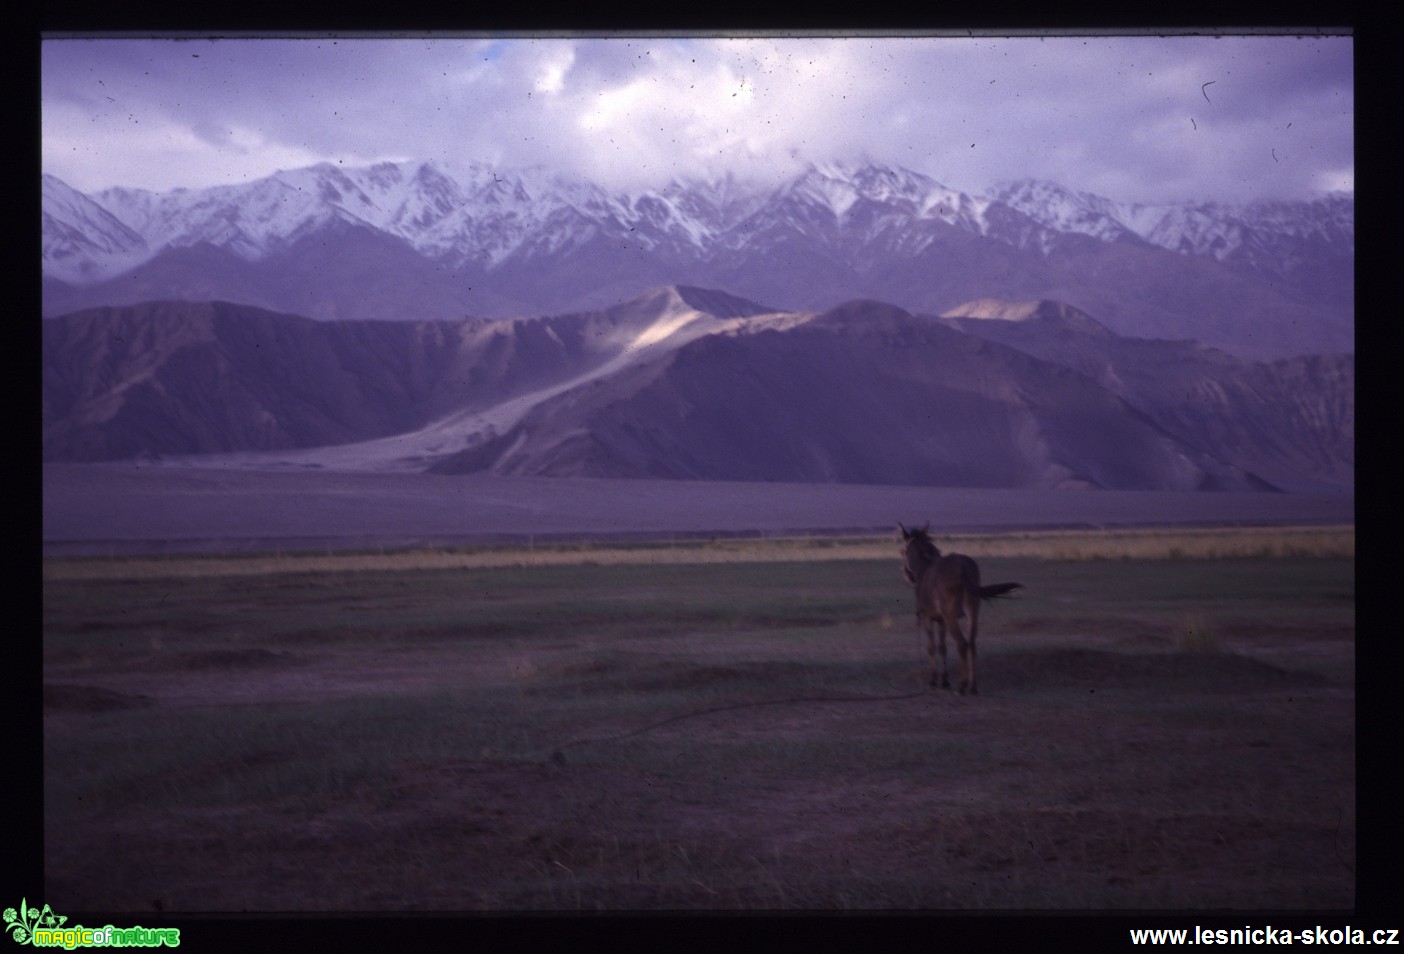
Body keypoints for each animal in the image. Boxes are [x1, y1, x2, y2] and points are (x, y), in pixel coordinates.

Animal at [898, 522, 1022, 694]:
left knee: (962, 643)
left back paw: (963, 685)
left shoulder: (928, 617)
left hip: (951, 616)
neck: (924, 568)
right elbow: (942, 647)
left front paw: (934, 680)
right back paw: (973, 686)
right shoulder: (941, 620)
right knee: (972, 644)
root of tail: (962, 566)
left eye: (903, 551)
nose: (907, 576)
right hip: (972, 612)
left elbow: (931, 646)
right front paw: (944, 680)